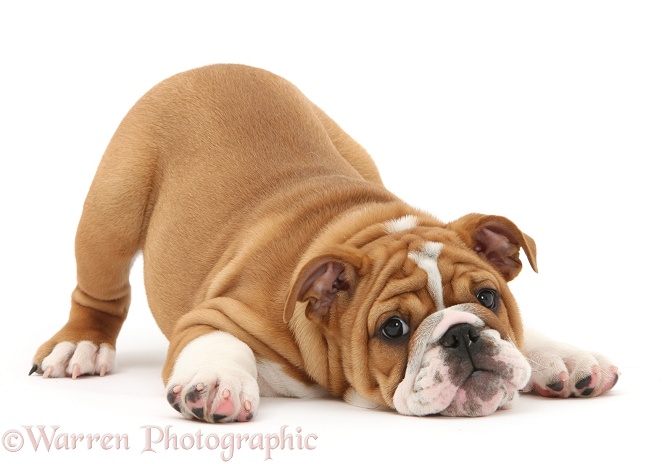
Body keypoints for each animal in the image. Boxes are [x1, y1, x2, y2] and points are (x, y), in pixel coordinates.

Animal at [32, 63, 624, 422]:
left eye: (487, 298)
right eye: (393, 329)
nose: (462, 335)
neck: (362, 228)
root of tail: (209, 66)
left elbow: (522, 334)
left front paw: (561, 356)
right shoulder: (212, 315)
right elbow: (220, 344)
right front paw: (218, 383)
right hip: (112, 210)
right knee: (99, 291)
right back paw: (79, 345)